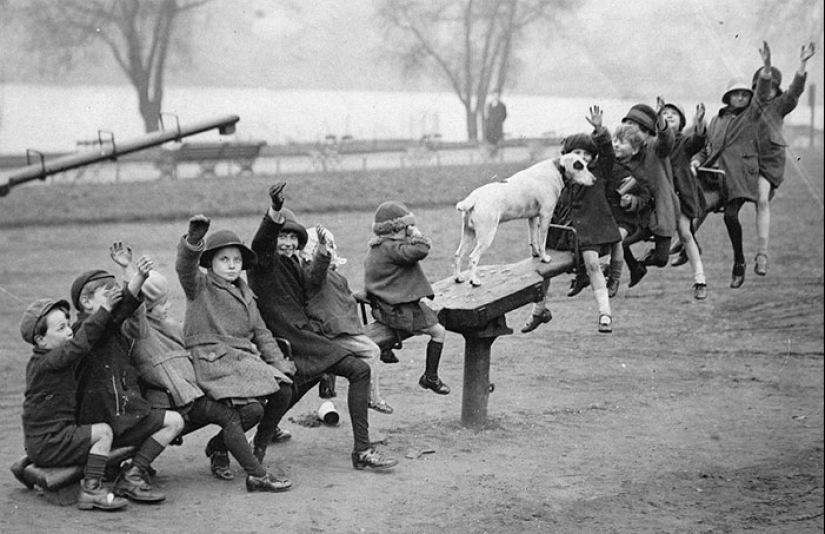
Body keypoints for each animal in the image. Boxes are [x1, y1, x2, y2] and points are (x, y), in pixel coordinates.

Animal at [454, 153, 596, 286]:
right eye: (579, 166)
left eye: (585, 164)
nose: (595, 180)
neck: (556, 169)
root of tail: (474, 198)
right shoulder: (545, 215)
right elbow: (542, 241)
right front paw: (544, 258)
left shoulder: (532, 218)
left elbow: (533, 240)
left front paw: (536, 254)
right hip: (486, 237)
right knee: (473, 257)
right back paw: (474, 281)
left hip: (468, 234)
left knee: (458, 254)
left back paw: (458, 278)